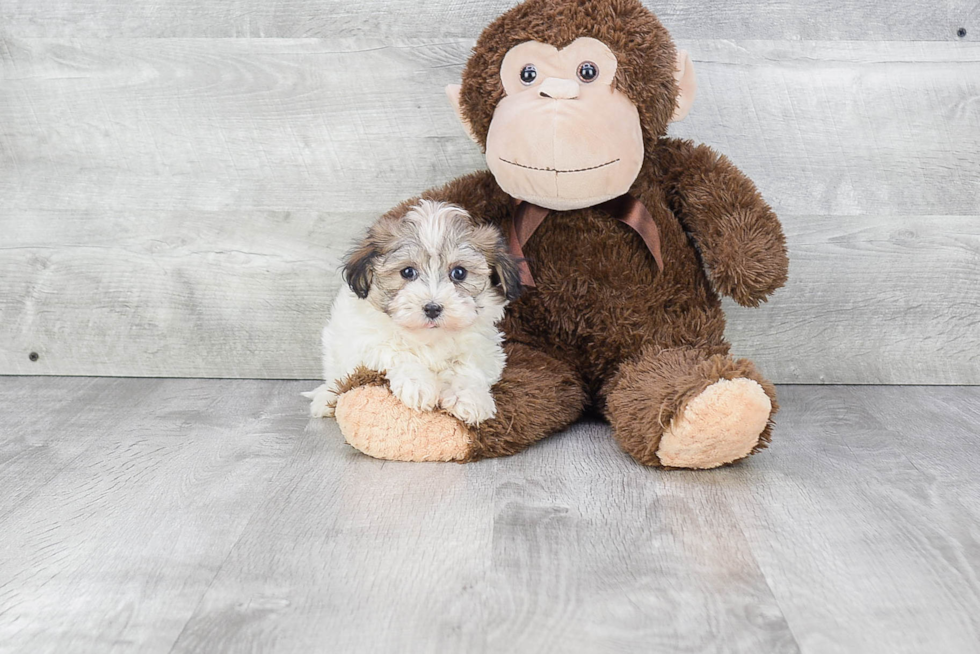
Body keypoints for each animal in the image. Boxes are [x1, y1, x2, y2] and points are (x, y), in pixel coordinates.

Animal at [306, 200, 524, 426]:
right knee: (336, 377)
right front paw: (418, 385)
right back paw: (325, 399)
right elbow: (397, 354)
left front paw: (468, 397)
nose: (432, 308)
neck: (429, 338)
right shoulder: (369, 342)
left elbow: (468, 367)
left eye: (459, 273)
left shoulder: (483, 348)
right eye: (408, 272)